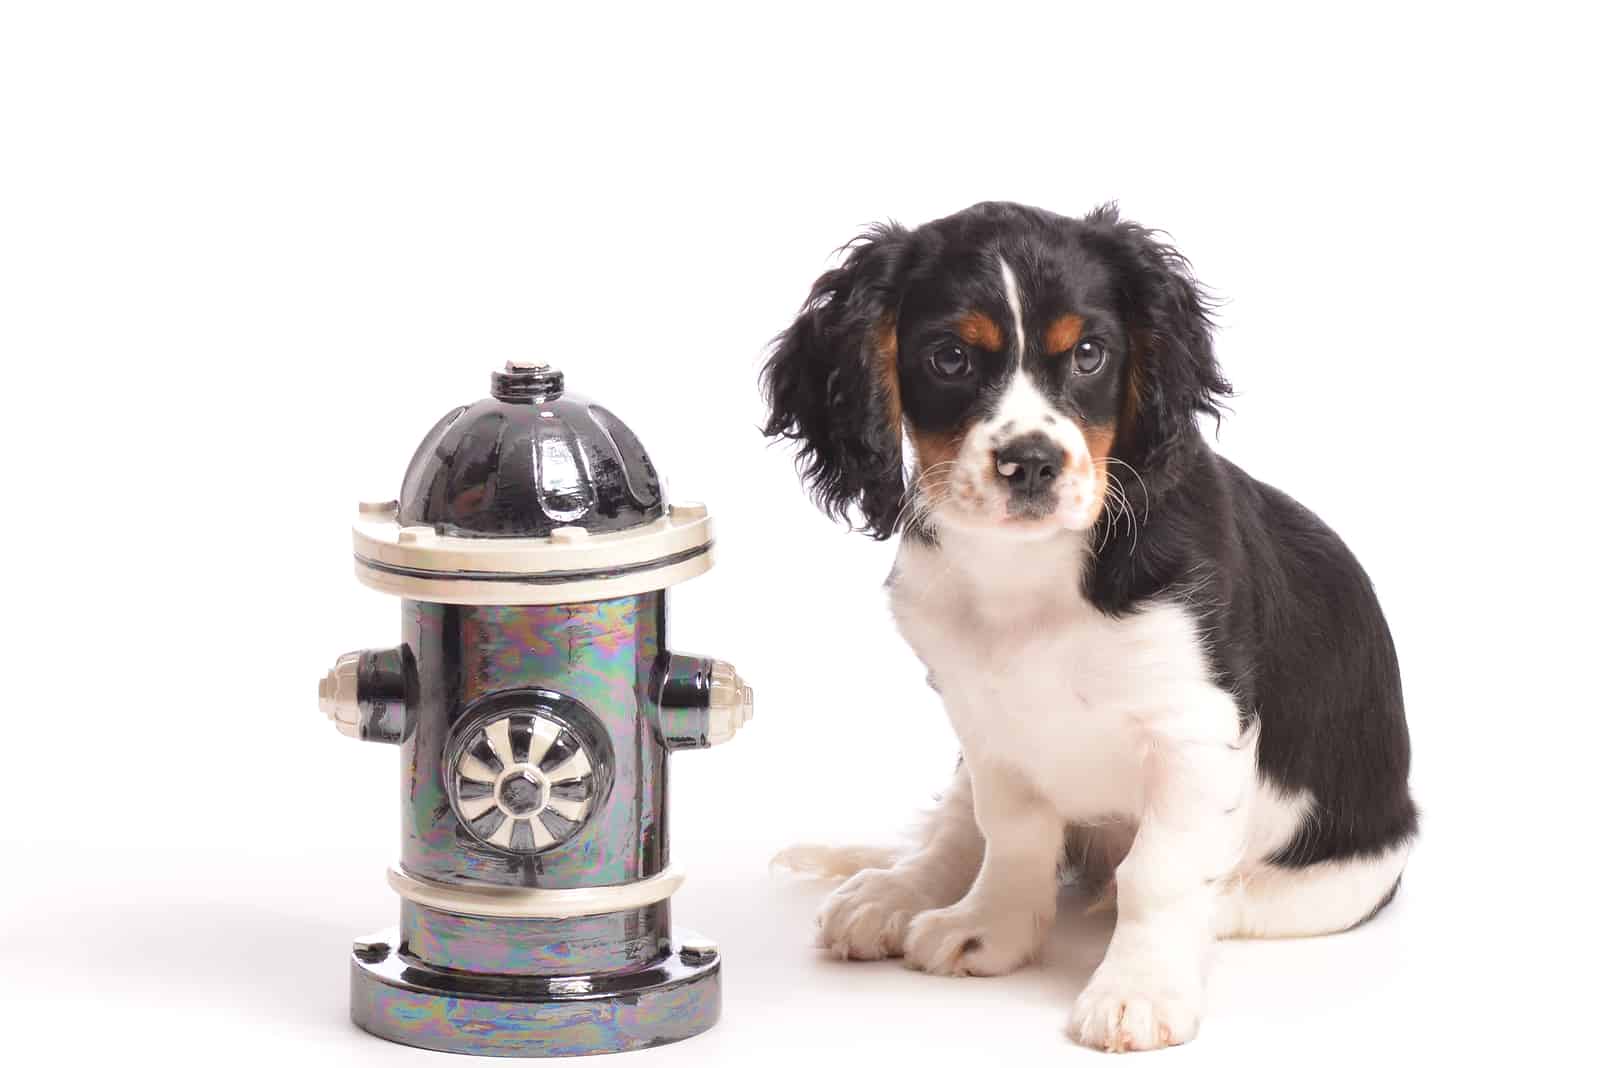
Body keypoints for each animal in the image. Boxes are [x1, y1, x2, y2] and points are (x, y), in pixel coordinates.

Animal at [761, 199, 1414, 1048]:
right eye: (948, 358)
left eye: (1090, 354)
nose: (1032, 463)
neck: (1031, 569)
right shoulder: (986, 721)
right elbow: (1008, 835)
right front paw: (991, 930)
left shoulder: (1195, 727)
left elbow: (1161, 873)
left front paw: (1140, 989)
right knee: (954, 827)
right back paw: (896, 893)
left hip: (1351, 872)